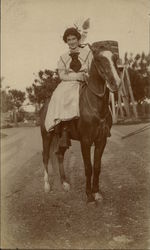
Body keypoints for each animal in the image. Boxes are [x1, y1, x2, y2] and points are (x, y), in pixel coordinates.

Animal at [39, 47, 120, 203]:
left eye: (114, 58)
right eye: (99, 60)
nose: (116, 83)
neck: (95, 106)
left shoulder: (101, 140)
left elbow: (97, 167)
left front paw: (97, 192)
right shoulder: (86, 141)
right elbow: (88, 167)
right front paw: (89, 195)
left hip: (61, 139)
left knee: (59, 155)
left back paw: (64, 183)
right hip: (46, 136)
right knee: (45, 156)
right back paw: (46, 186)